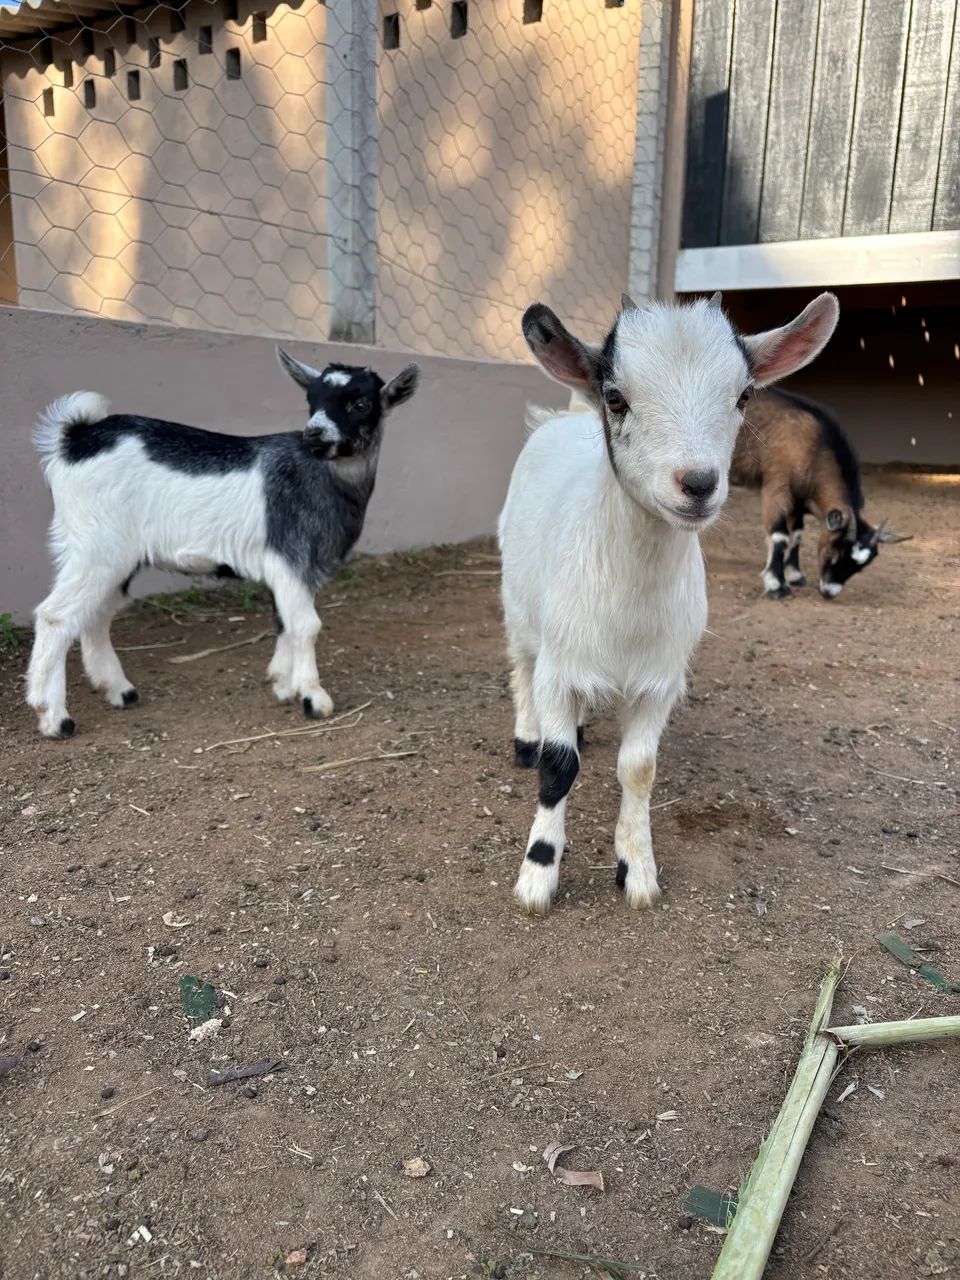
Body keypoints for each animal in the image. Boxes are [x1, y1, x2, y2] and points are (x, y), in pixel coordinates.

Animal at [26, 351, 419, 738]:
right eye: (311, 400)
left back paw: (119, 691)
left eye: (361, 403)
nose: (314, 435)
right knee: (55, 616)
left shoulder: (295, 568)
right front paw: (313, 697)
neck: (323, 476)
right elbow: (307, 625)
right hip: (96, 546)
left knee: (96, 614)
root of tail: (75, 438)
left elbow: (284, 621)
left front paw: (283, 684)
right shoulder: (290, 556)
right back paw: (55, 718)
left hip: (109, 553)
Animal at [499, 290, 839, 914]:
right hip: (518, 607)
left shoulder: (660, 679)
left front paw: (637, 869)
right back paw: (527, 737)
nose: (698, 483)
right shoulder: (561, 665)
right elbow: (559, 768)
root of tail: (565, 416)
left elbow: (638, 769)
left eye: (743, 396)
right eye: (616, 397)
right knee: (521, 669)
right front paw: (537, 875)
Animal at [732, 387, 910, 599]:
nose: (829, 592)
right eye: (831, 552)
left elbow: (796, 534)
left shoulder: (799, 501)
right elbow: (780, 535)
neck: (814, 447)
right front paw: (777, 585)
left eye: (860, 568)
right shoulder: (777, 487)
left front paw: (794, 575)